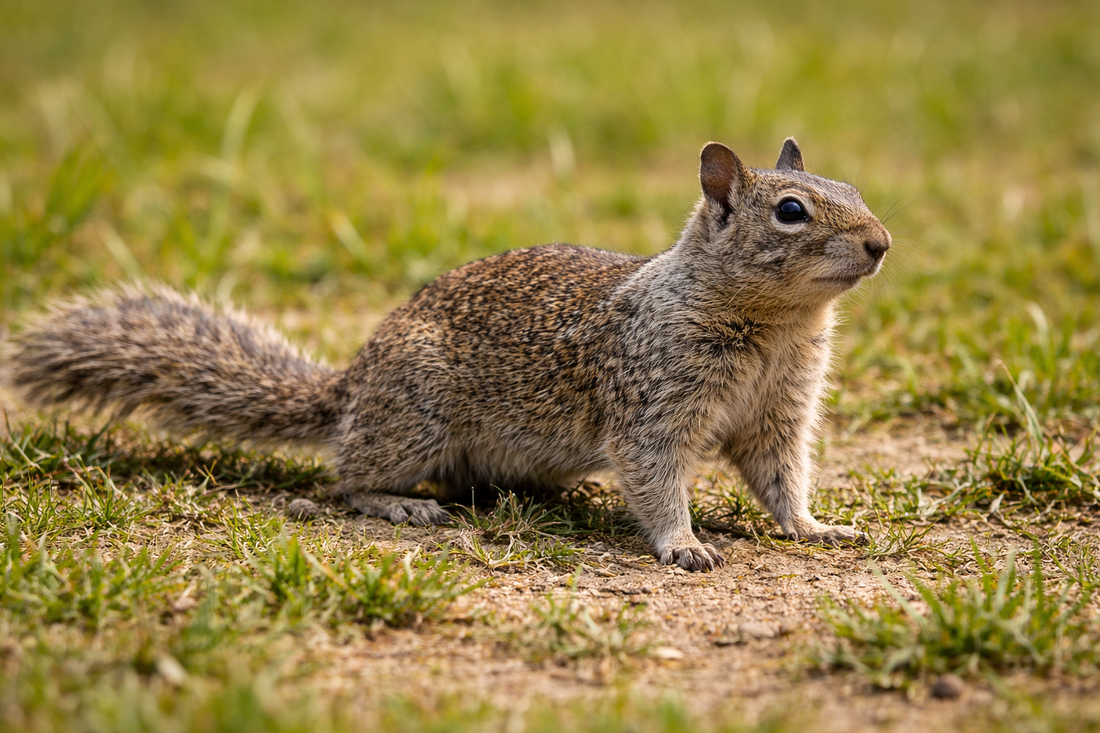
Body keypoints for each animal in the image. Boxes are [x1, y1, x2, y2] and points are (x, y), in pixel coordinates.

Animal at [9, 138, 890, 571]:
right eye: (790, 211)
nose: (882, 243)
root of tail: (352, 382)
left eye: (855, 189)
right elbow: (656, 476)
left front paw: (818, 528)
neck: (776, 328)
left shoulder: (779, 413)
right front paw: (684, 544)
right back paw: (402, 504)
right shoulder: (653, 403)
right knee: (348, 477)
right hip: (415, 417)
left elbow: (781, 480)